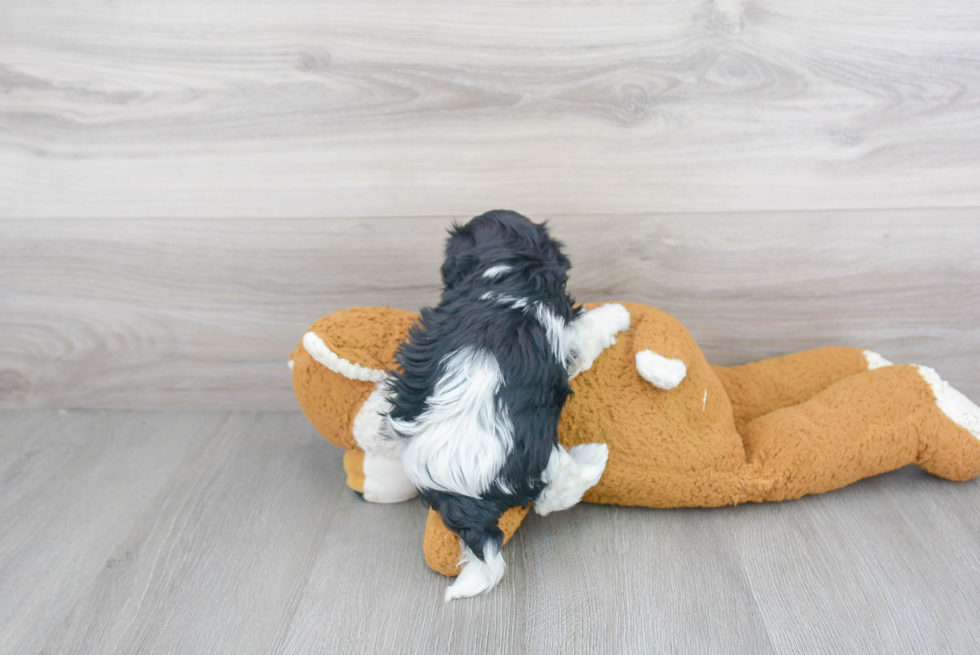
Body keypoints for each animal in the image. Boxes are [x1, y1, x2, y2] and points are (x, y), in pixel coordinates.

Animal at [386, 210, 632, 600]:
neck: (501, 268)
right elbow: (590, 327)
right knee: (556, 493)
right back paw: (594, 457)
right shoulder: (567, 332)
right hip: (536, 453)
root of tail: (458, 486)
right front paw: (618, 313)